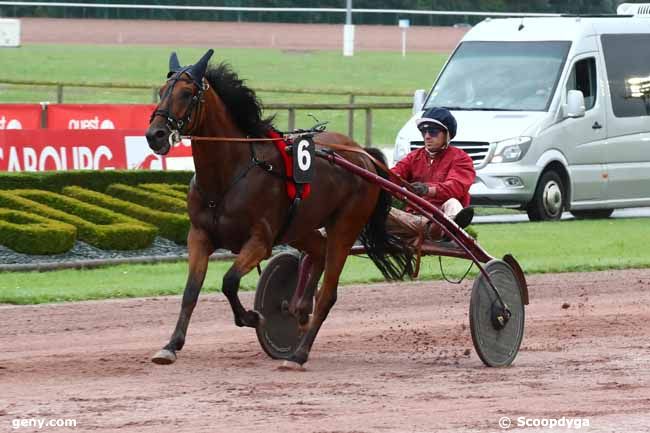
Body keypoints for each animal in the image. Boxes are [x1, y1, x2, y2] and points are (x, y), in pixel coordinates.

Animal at [145, 49, 412, 368]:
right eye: (162, 91)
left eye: (186, 93)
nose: (155, 134)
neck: (229, 174)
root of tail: (363, 155)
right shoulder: (199, 235)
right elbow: (190, 291)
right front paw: (170, 345)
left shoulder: (261, 240)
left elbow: (229, 281)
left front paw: (252, 317)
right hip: (300, 226)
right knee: (318, 252)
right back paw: (299, 310)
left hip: (345, 225)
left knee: (328, 292)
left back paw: (298, 353)